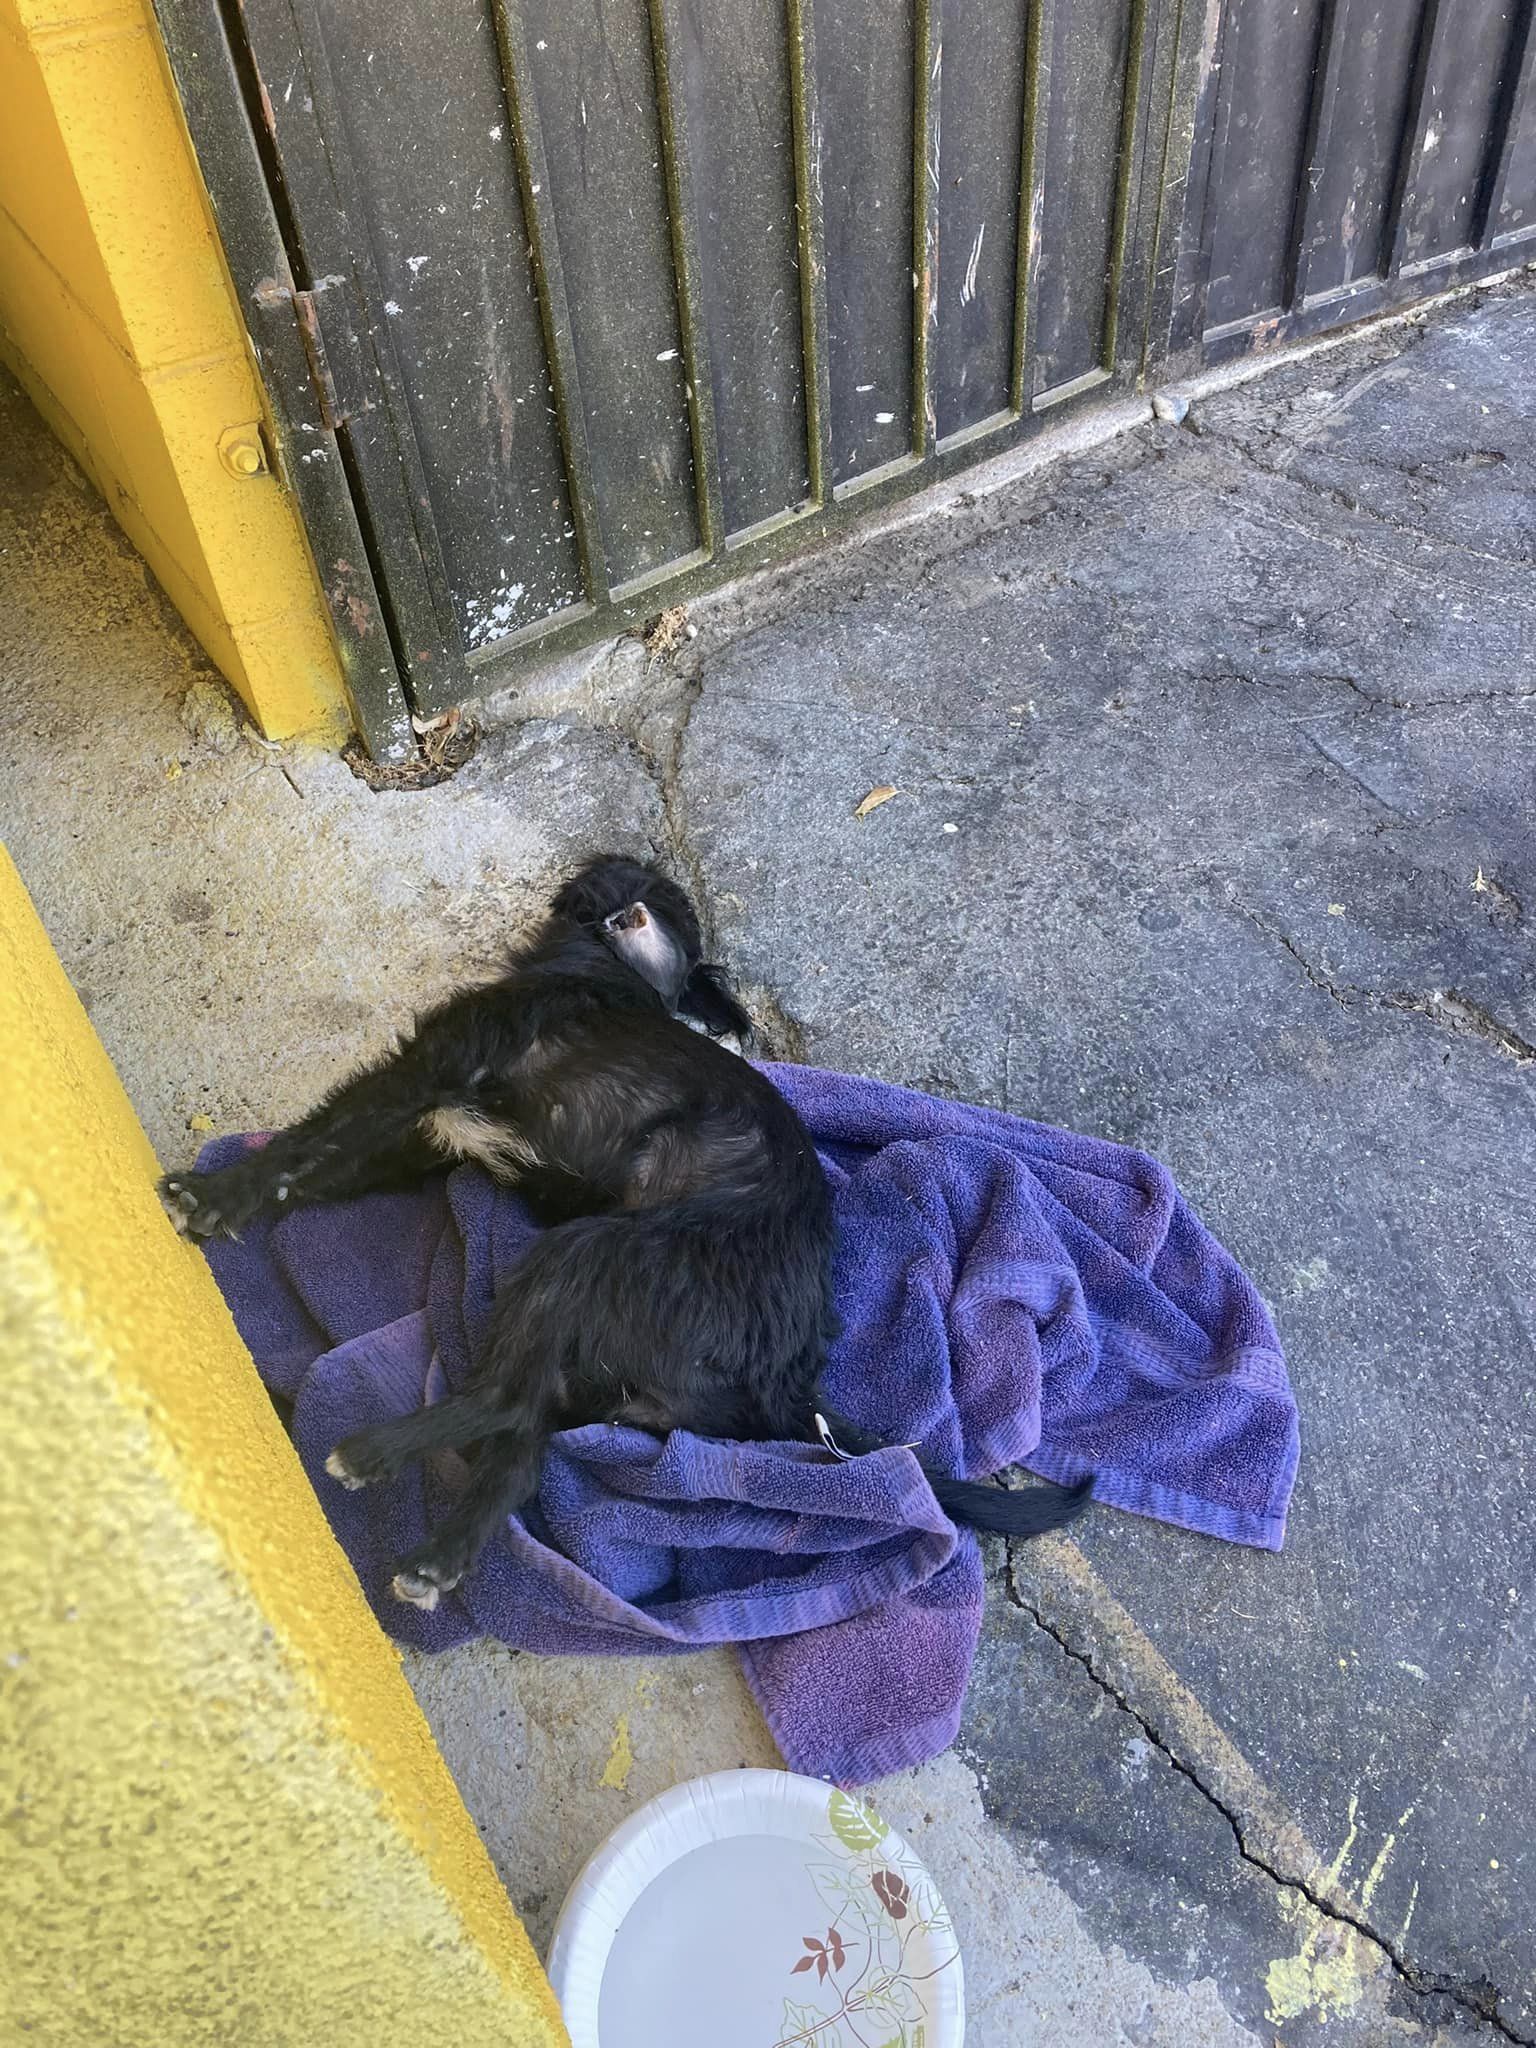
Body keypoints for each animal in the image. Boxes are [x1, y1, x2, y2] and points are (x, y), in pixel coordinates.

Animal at [162, 856, 1089, 1605]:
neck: (609, 970)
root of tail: (789, 1384)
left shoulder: (428, 1071)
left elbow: (312, 1139)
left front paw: (212, 1198)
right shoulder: (430, 1130)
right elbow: (318, 1165)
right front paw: (236, 1199)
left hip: (587, 1254)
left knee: (505, 1401)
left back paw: (373, 1454)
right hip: (598, 1345)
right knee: (523, 1447)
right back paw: (442, 1557)